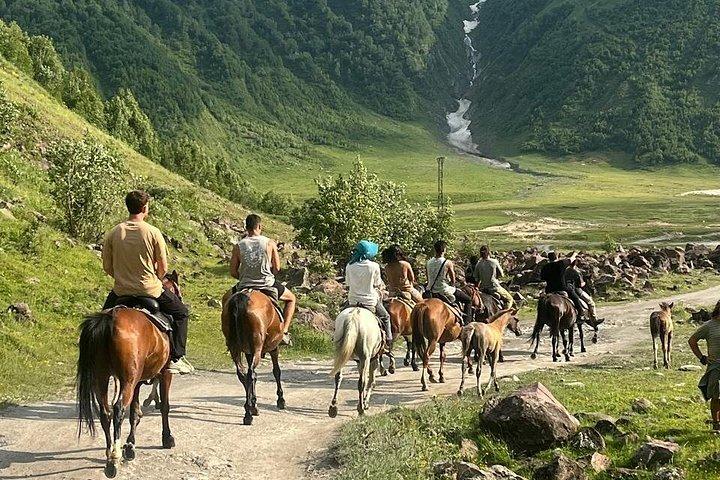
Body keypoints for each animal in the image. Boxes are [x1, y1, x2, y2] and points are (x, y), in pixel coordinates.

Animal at [77, 273, 181, 478]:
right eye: (178, 291)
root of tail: (110, 319)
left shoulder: (138, 381)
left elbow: (135, 412)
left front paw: (130, 446)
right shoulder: (165, 374)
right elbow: (164, 407)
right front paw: (167, 438)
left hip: (103, 377)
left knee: (105, 412)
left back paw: (110, 454)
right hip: (127, 381)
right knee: (118, 409)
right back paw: (114, 459)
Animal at [222, 288, 286, 426]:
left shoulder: (248, 352)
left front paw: (254, 402)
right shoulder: (274, 348)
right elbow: (276, 371)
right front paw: (281, 399)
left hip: (234, 347)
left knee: (243, 374)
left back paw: (251, 408)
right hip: (257, 346)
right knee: (250, 374)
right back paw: (248, 415)